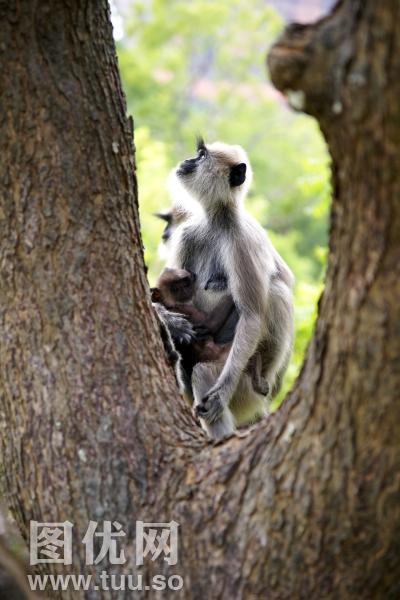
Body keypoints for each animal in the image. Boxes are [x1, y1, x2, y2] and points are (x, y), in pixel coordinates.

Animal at [151, 267, 270, 401]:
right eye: (175, 289)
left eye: (185, 283)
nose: (184, 289)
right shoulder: (187, 310)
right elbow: (210, 324)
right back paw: (257, 382)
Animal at [164, 138, 294, 439]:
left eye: (201, 155)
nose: (186, 161)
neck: (217, 219)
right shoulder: (187, 235)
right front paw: (171, 321)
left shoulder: (241, 240)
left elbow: (252, 315)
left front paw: (219, 396)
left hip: (245, 389)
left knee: (276, 289)